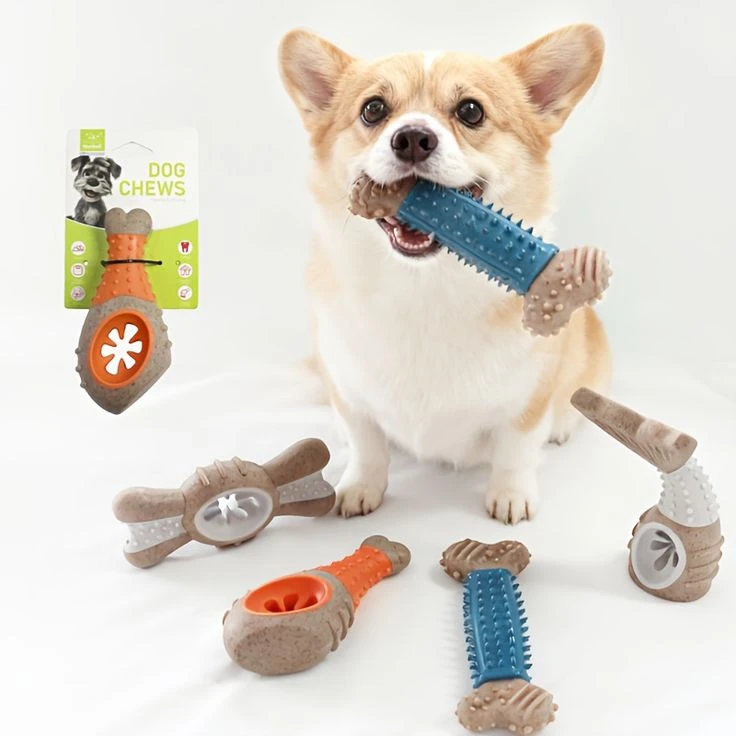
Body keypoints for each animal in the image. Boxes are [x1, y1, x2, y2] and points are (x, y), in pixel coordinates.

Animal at [278, 24, 612, 523]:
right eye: (373, 109)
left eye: (470, 110)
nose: (412, 138)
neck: (423, 286)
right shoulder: (349, 390)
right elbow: (366, 442)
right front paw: (359, 487)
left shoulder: (529, 397)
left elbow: (516, 448)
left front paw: (510, 495)